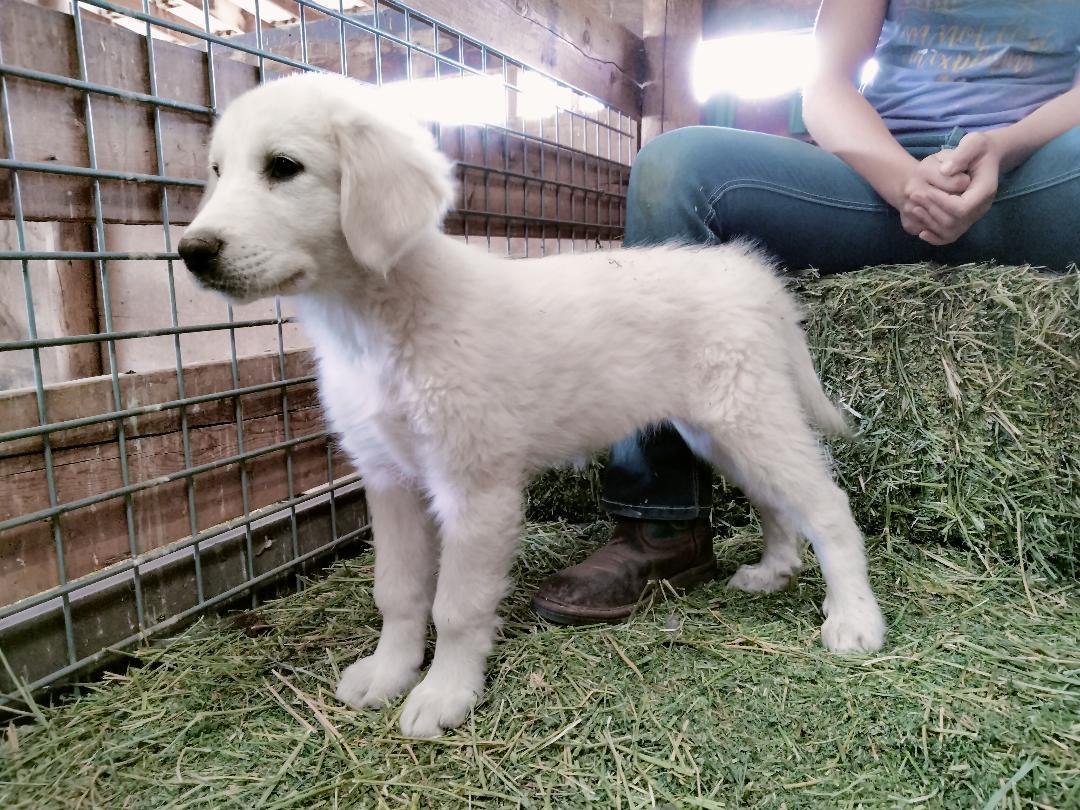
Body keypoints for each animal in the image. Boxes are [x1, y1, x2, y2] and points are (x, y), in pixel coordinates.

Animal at [179, 72, 885, 738]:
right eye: (216, 170)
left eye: (283, 167)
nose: (191, 252)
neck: (373, 321)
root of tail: (750, 273)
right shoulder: (390, 480)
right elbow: (398, 592)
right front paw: (389, 673)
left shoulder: (475, 486)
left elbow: (456, 605)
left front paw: (443, 694)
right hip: (721, 429)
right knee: (777, 502)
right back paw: (773, 572)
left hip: (749, 414)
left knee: (827, 505)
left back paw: (854, 619)